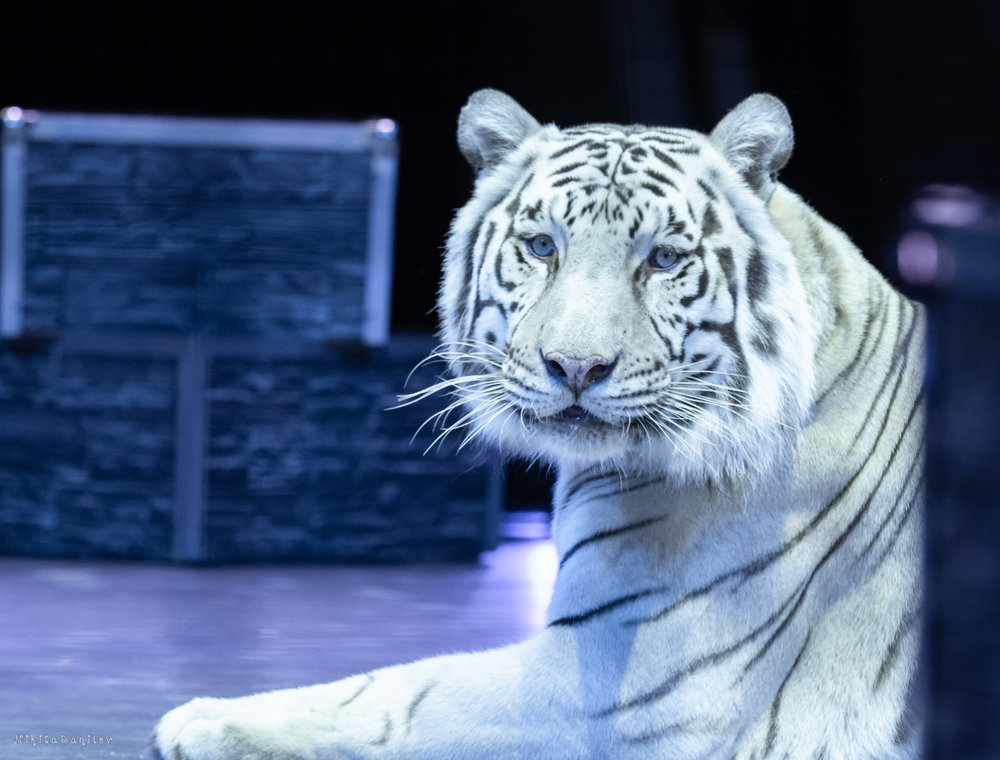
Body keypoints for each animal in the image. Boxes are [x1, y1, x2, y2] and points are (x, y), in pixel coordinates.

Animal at [153, 90, 925, 760]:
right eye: (542, 247)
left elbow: (395, 696)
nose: (576, 366)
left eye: (664, 259)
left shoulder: (617, 688)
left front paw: (202, 720)